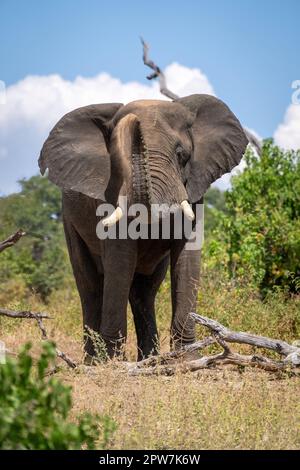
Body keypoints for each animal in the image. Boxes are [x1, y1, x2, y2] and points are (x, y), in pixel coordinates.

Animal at [38, 94, 247, 360]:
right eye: (118, 157)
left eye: (181, 154)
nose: (133, 122)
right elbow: (120, 259)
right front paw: (113, 363)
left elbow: (187, 258)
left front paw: (186, 358)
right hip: (69, 220)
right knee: (91, 287)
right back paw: (94, 362)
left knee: (144, 291)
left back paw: (149, 359)